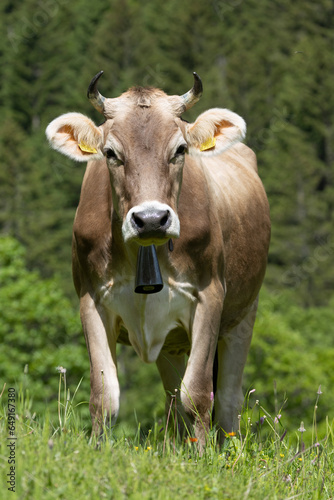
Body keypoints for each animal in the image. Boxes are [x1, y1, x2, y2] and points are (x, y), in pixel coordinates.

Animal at [45, 72, 270, 448]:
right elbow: (104, 395)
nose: (151, 219)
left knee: (227, 397)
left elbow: (198, 393)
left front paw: (201, 456)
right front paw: (98, 449)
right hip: (171, 340)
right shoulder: (91, 300)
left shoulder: (209, 296)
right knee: (171, 396)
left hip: (244, 314)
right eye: (110, 153)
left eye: (180, 150)